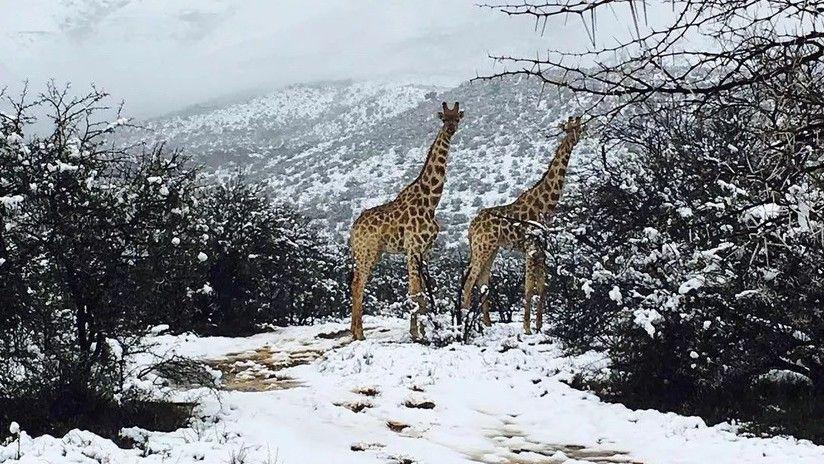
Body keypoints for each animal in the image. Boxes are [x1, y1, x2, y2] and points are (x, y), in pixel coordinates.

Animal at [348, 101, 464, 340]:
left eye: (457, 118)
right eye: (443, 118)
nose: (450, 129)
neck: (431, 201)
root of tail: (353, 229)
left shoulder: (425, 250)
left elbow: (423, 292)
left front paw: (425, 331)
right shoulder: (413, 247)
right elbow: (415, 292)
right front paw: (416, 334)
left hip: (374, 253)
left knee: (356, 283)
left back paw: (354, 331)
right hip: (367, 251)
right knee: (357, 284)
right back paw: (359, 334)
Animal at [460, 115, 584, 334]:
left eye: (579, 125)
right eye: (568, 128)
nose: (575, 139)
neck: (545, 204)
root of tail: (471, 227)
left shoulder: (542, 248)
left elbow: (542, 287)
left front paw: (539, 326)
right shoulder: (530, 247)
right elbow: (528, 288)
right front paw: (526, 327)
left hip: (491, 248)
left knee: (483, 280)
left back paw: (487, 323)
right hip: (482, 247)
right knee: (469, 281)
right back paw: (468, 324)